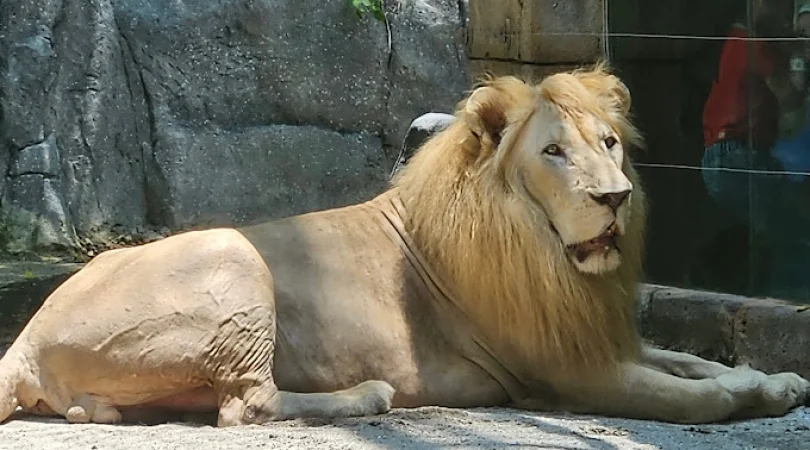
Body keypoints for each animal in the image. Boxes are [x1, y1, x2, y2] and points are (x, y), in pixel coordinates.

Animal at [0, 64, 807, 427]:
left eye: (609, 144)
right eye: (553, 152)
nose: (614, 198)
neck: (552, 258)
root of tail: (25, 340)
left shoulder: (601, 336)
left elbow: (695, 362)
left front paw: (779, 379)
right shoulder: (565, 373)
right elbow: (698, 398)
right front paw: (754, 389)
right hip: (233, 256)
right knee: (247, 406)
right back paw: (368, 395)